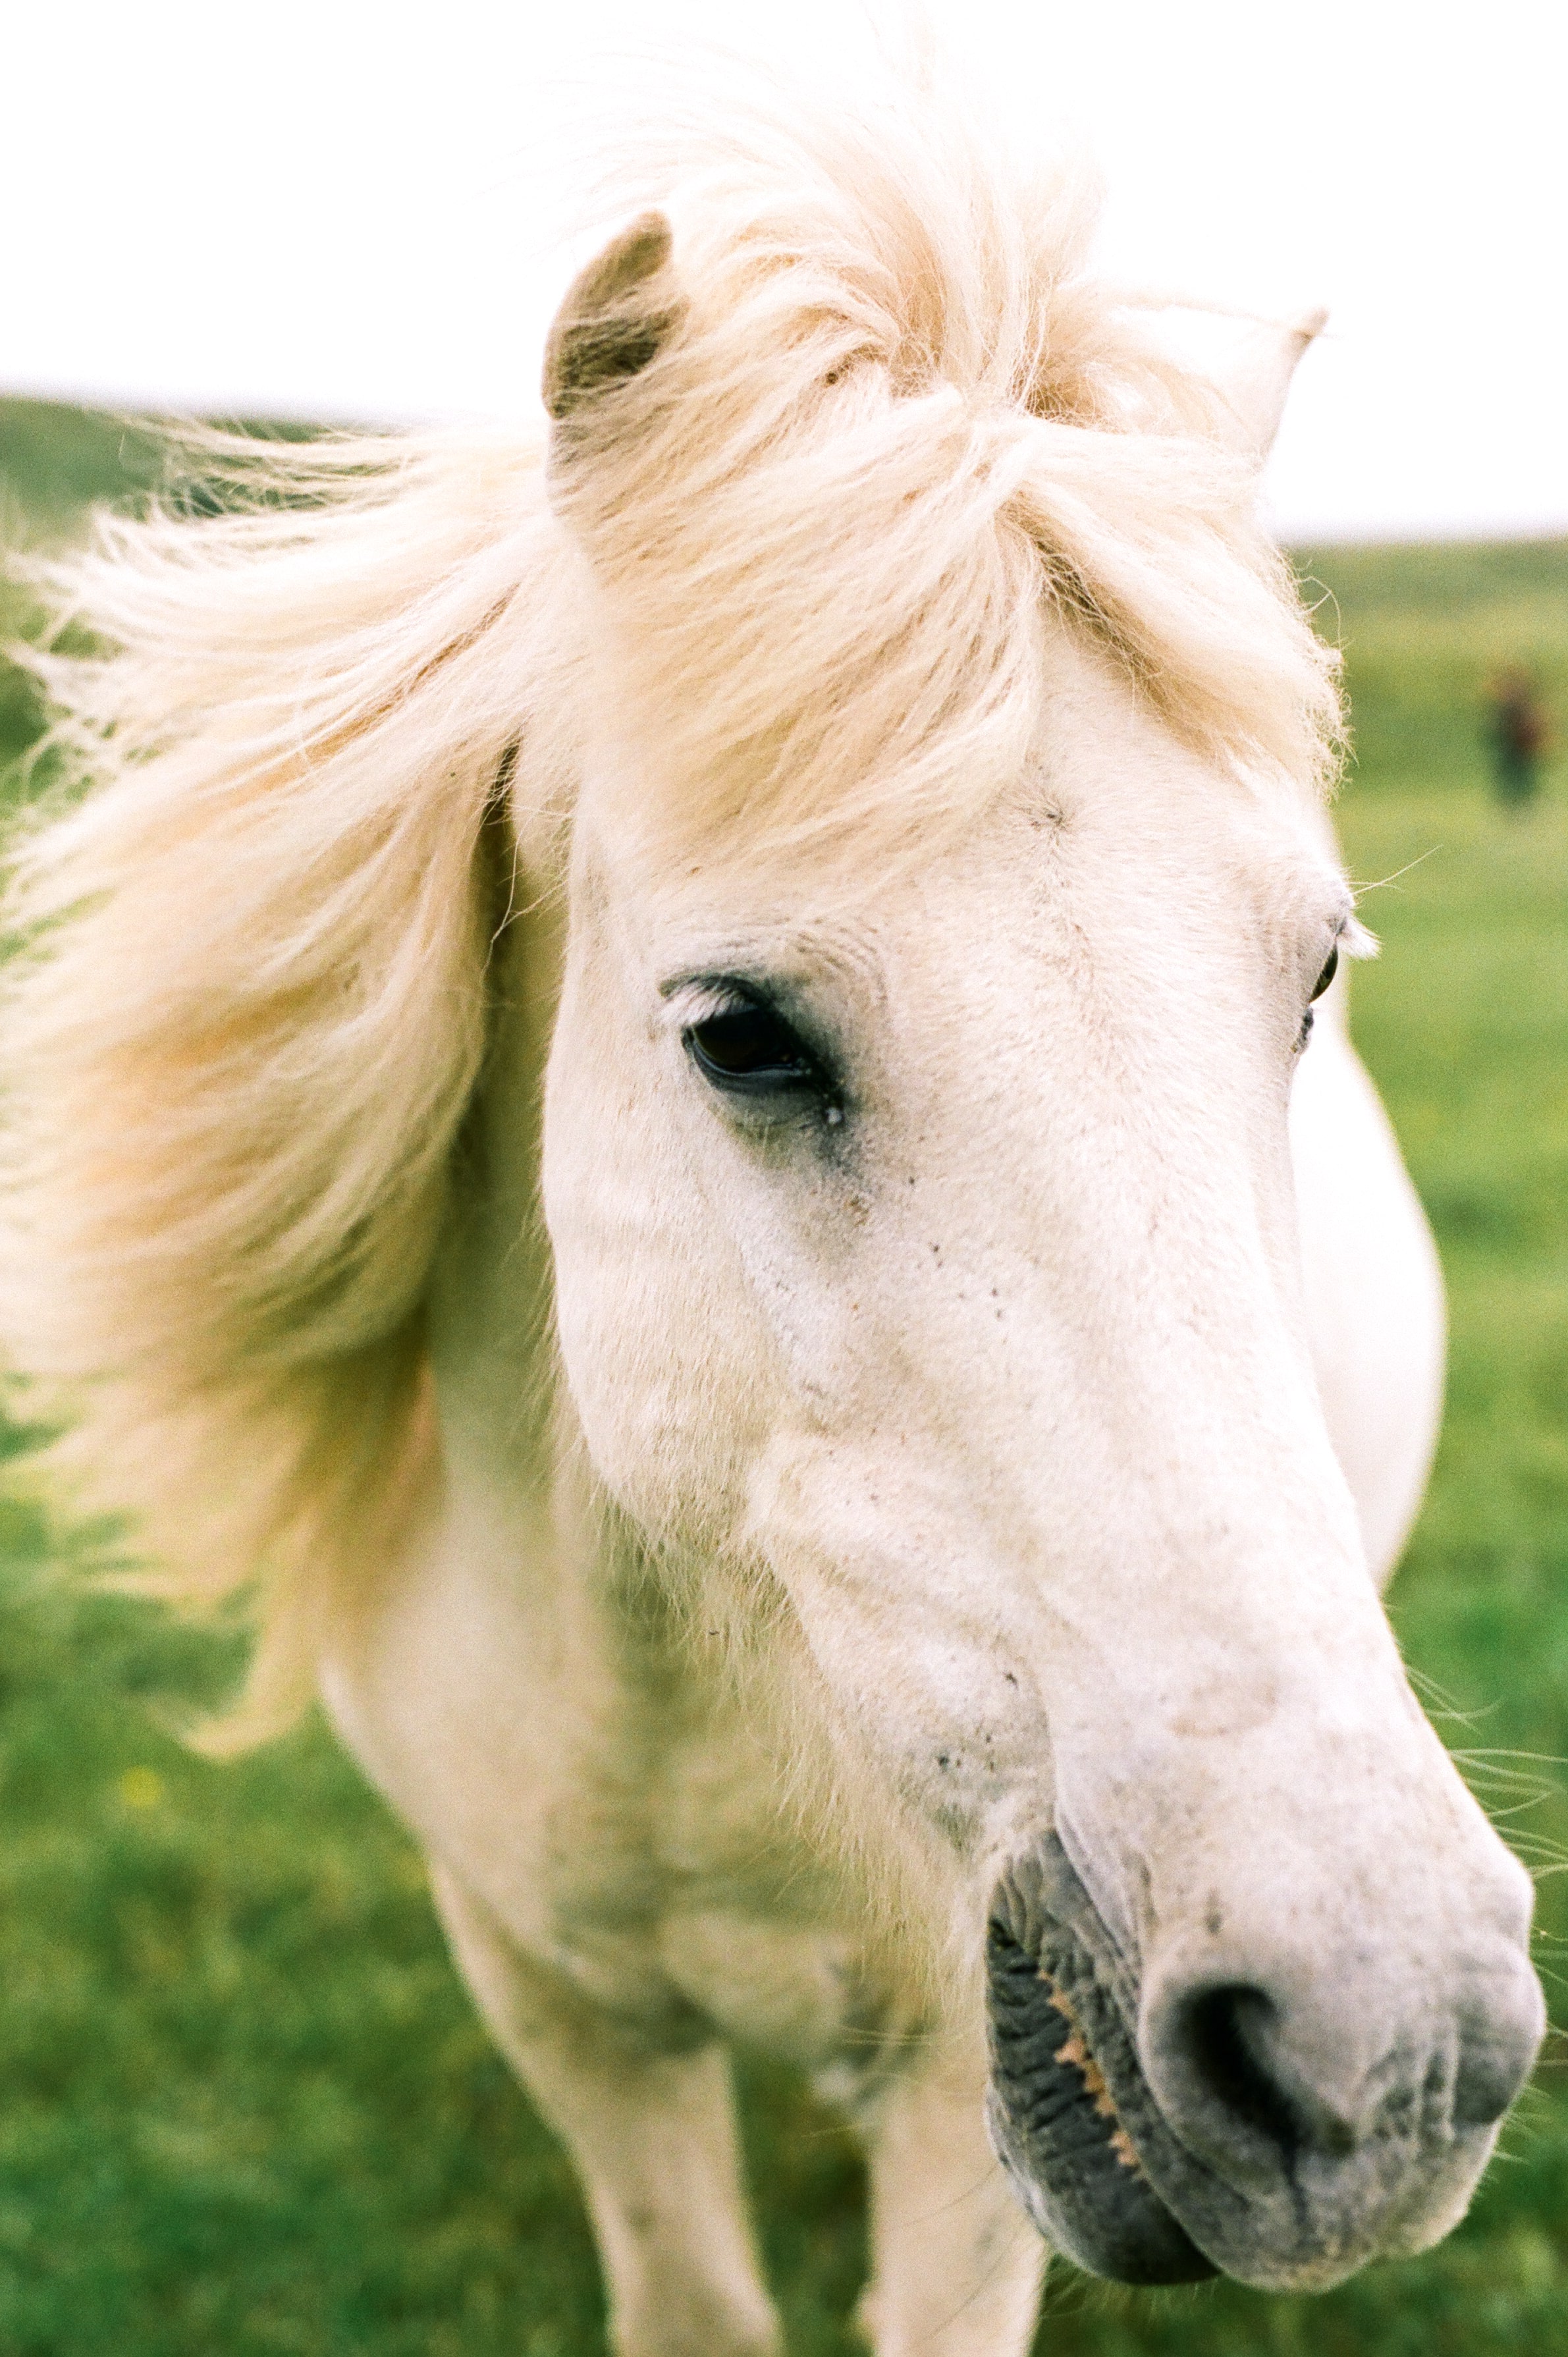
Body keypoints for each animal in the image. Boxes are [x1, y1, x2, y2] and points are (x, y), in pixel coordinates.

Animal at [0, 78, 1537, 2357]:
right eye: (739, 1035)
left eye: (1311, 978)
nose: (1385, 2042)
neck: (678, 1687)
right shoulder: (569, 2016)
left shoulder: (961, 2115)